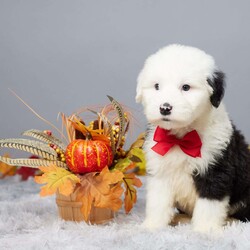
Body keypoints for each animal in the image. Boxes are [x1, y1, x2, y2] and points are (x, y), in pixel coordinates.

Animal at [136, 44, 250, 233]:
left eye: (186, 87)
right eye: (157, 86)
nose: (165, 108)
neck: (181, 137)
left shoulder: (216, 170)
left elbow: (209, 205)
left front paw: (205, 230)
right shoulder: (161, 171)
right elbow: (158, 202)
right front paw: (152, 225)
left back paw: (229, 221)